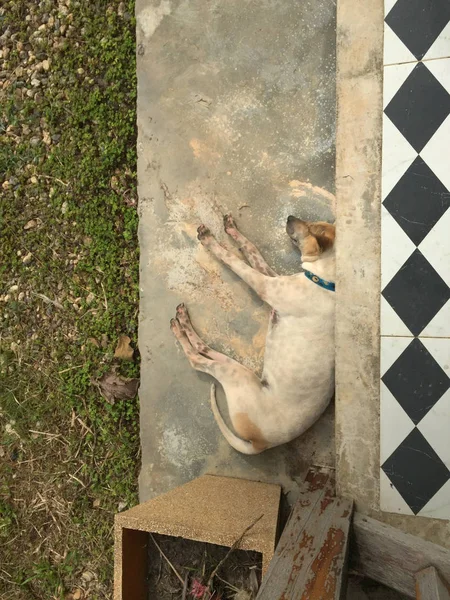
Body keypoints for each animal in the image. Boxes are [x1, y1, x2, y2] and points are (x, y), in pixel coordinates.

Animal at [169, 204, 334, 452]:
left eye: (309, 228)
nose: (289, 217)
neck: (328, 282)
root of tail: (259, 444)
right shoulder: (272, 277)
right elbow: (252, 250)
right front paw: (231, 230)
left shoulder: (263, 285)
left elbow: (233, 260)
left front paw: (210, 241)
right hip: (242, 373)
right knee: (207, 351)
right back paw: (184, 322)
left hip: (238, 378)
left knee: (198, 361)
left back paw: (180, 328)